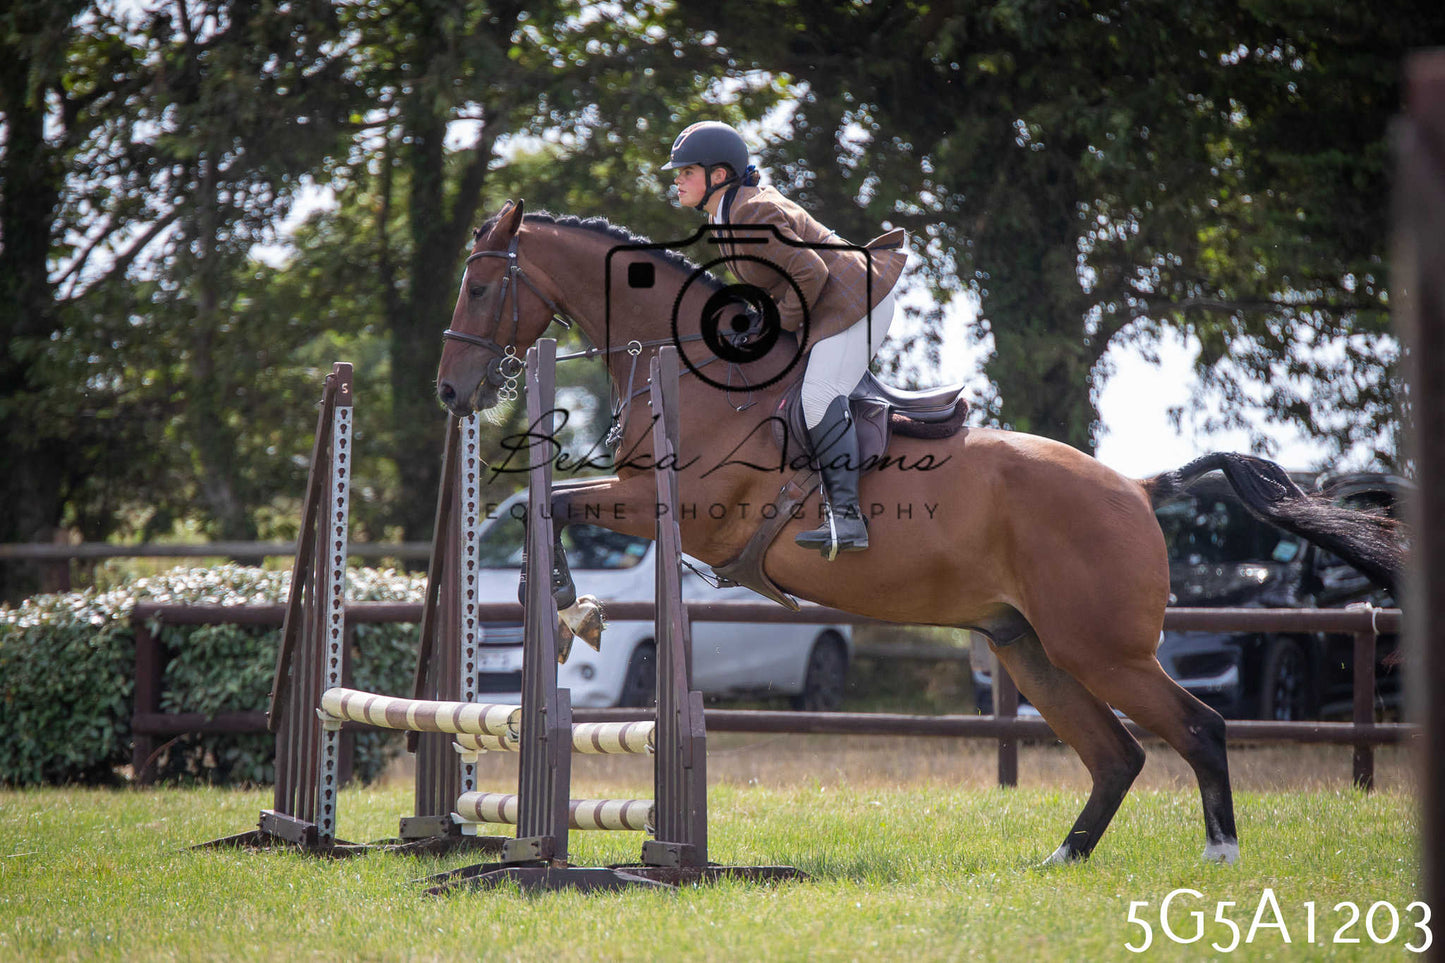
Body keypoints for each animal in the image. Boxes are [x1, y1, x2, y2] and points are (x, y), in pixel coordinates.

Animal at [435, 199, 1403, 866]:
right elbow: (542, 505)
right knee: (1116, 752)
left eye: (481, 285)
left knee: (1197, 726)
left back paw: (1218, 855)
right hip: (1028, 646)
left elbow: (551, 505)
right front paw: (559, 605)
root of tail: (1136, 485)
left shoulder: (671, 509)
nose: (451, 391)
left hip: (1099, 646)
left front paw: (572, 607)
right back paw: (1059, 859)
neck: (705, 373)